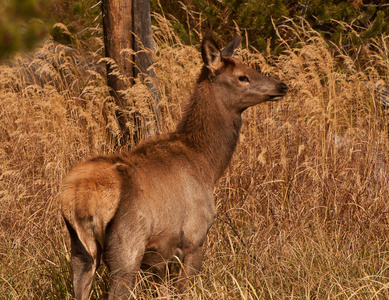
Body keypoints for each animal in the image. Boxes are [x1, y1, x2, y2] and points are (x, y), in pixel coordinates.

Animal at [59, 34, 284, 298]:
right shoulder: (194, 236)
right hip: (127, 245)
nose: (281, 85)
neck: (207, 164)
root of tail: (78, 198)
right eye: (242, 76)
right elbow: (184, 290)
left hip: (80, 250)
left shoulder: (161, 255)